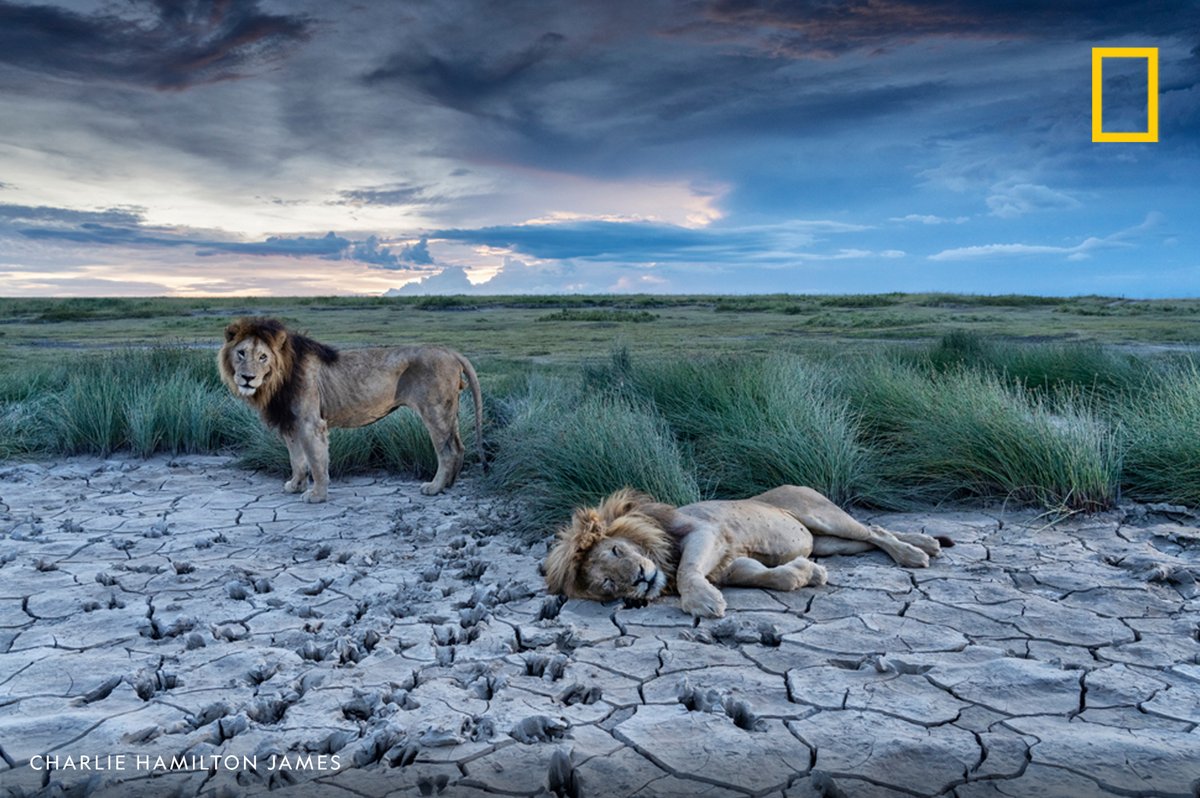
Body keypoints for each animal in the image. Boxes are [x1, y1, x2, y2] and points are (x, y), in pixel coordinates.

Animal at [218, 317, 484, 501]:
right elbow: (297, 460)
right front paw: (295, 485)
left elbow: (316, 461)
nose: (247, 378)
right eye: (241, 353)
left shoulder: (311, 423)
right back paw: (449, 484)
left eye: (263, 357)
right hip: (449, 412)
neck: (275, 381)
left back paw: (435, 487)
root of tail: (449, 351)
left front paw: (317, 495)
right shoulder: (291, 424)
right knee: (459, 447)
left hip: (435, 411)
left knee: (447, 451)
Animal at [545, 485, 951, 618]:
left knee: (874, 530)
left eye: (616, 550)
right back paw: (924, 544)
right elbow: (769, 577)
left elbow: (686, 571)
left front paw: (704, 602)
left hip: (824, 516)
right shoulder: (729, 564)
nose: (639, 580)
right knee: (873, 536)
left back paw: (918, 552)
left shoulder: (706, 532)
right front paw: (807, 574)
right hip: (830, 542)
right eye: (608, 586)